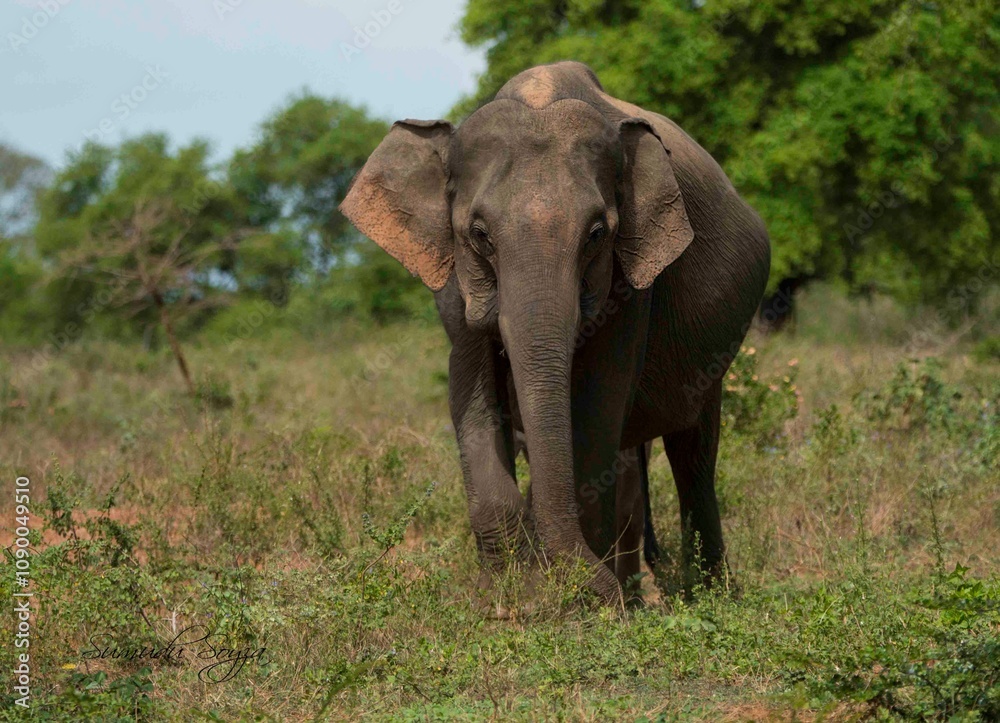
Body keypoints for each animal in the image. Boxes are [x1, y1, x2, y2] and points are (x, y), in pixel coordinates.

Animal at [339, 61, 770, 604]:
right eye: (478, 235)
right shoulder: (455, 286)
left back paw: (704, 598)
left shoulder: (633, 287)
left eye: (597, 235)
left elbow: (595, 409)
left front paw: (580, 608)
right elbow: (471, 394)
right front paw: (507, 605)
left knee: (692, 454)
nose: (601, 593)